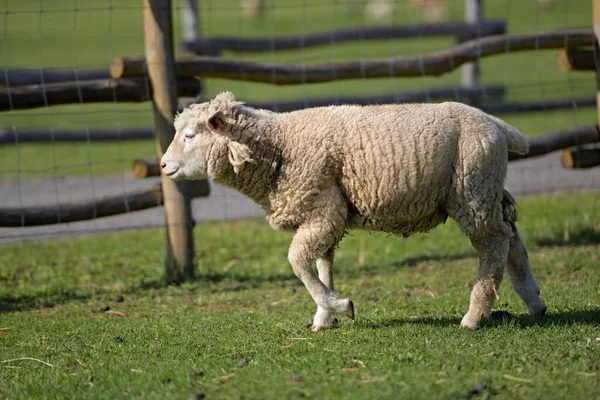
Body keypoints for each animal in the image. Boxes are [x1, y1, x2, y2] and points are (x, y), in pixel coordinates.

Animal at [161, 93, 548, 332]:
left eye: (190, 135)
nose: (163, 165)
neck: (279, 146)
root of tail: (497, 125)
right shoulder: (323, 212)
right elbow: (322, 264)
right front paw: (323, 318)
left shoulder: (322, 208)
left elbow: (298, 261)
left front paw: (340, 306)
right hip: (487, 191)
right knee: (512, 238)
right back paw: (535, 302)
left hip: (472, 190)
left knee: (494, 245)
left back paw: (473, 316)